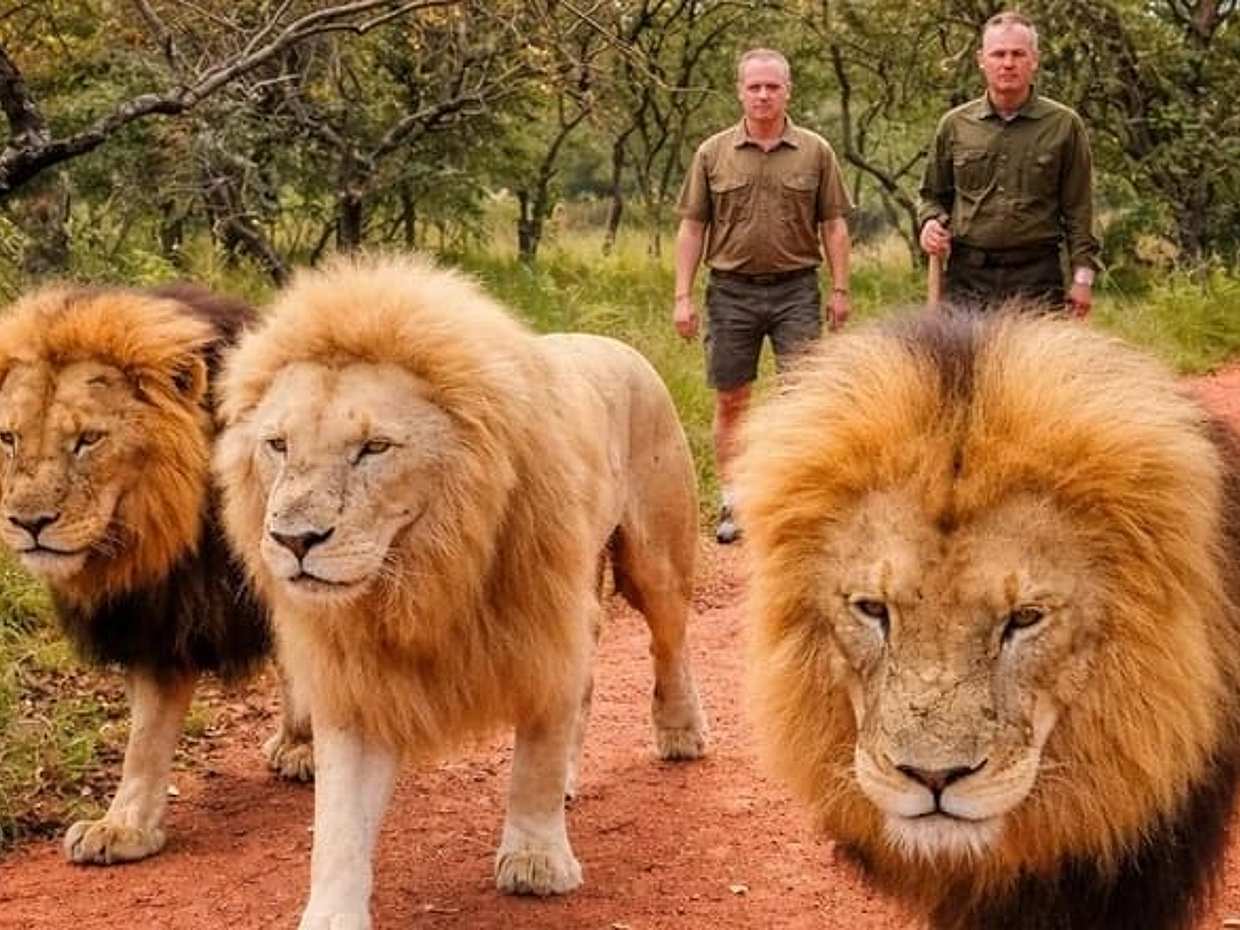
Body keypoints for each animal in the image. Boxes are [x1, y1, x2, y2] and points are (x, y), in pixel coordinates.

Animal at [0, 282, 313, 866]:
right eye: (8, 439)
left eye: (88, 439)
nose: (27, 524)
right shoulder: (159, 615)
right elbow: (145, 739)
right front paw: (123, 828)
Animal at [213, 253, 709, 929]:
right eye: (278, 444)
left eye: (374, 447)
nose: (294, 540)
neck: (423, 574)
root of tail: (617, 345)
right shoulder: (357, 677)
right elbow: (338, 824)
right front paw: (331, 914)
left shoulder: (543, 625)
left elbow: (535, 759)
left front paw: (535, 863)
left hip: (655, 557)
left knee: (669, 644)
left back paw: (682, 734)